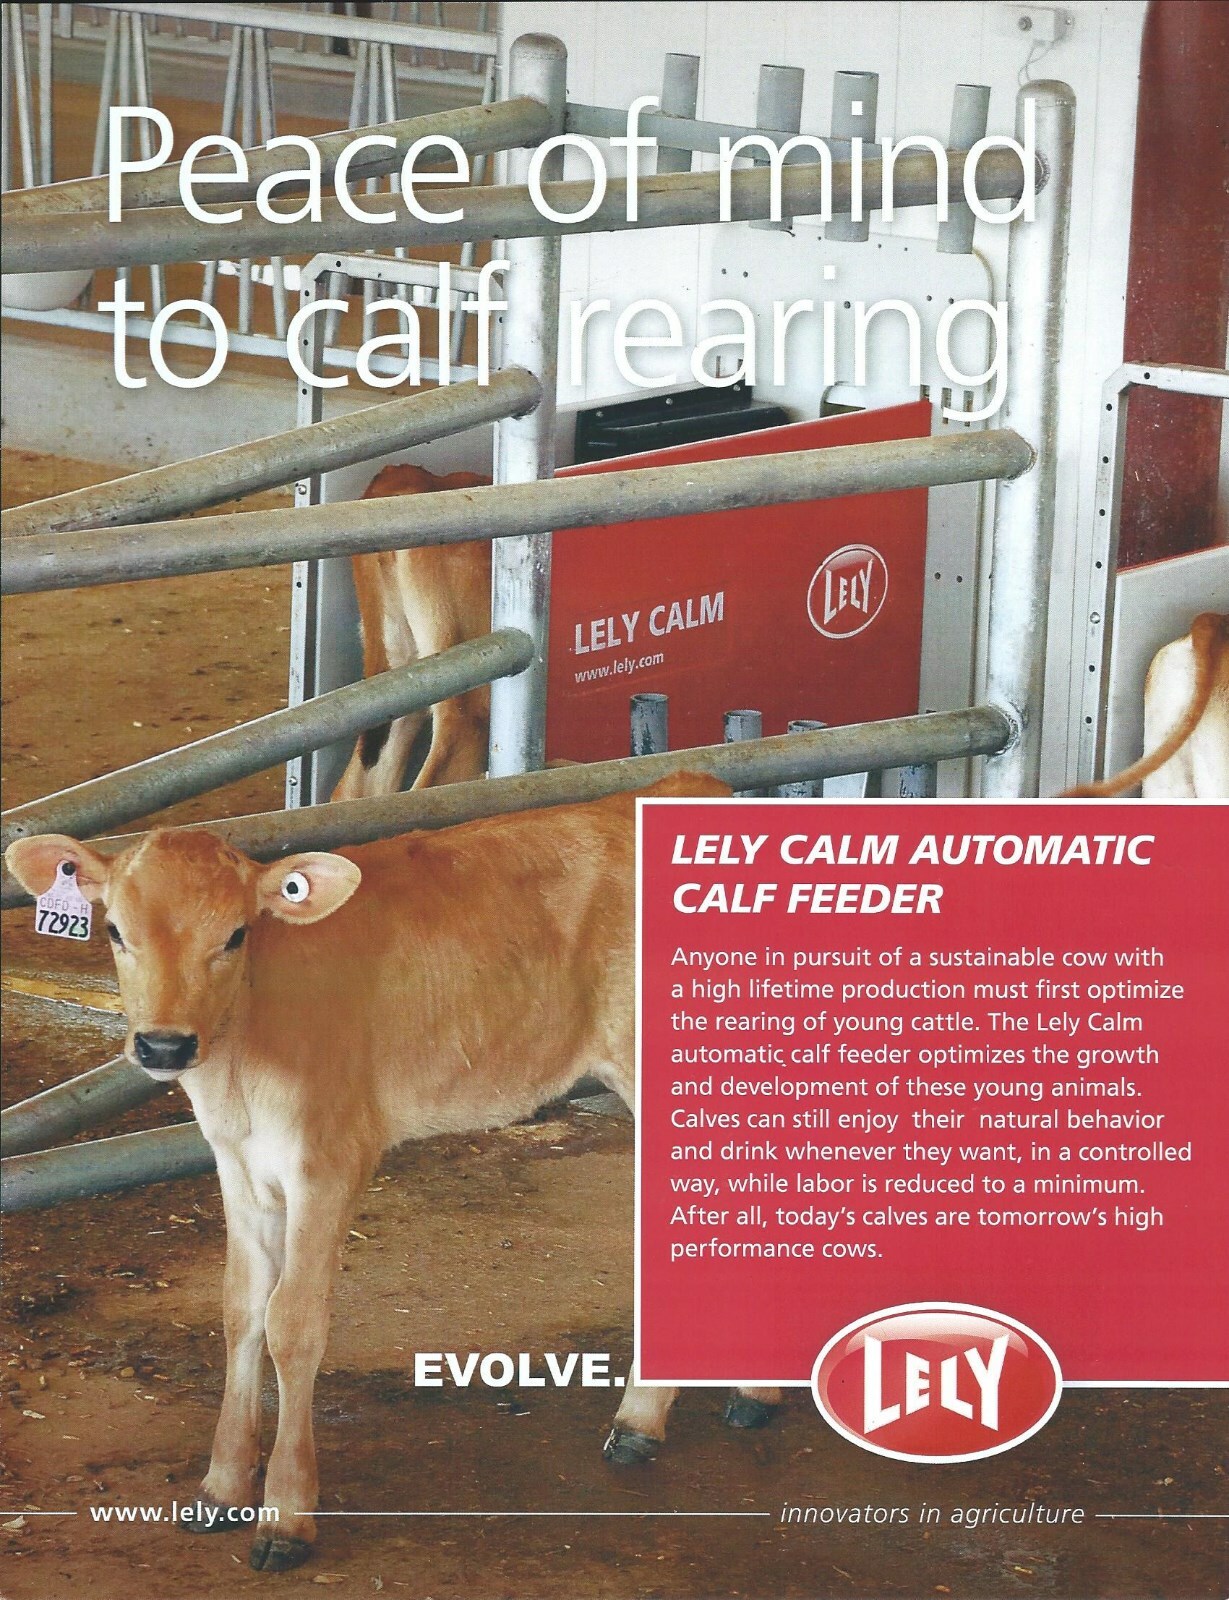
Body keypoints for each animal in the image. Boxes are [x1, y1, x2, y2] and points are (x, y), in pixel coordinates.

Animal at [5, 775, 779, 1574]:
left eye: (235, 935)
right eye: (115, 932)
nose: (163, 1045)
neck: (239, 1059)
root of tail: (694, 784)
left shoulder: (327, 1159)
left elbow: (293, 1322)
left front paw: (286, 1514)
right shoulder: (238, 1163)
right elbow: (240, 1309)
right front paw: (220, 1488)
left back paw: (651, 1415)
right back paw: (740, 1396)